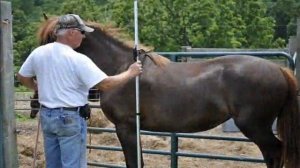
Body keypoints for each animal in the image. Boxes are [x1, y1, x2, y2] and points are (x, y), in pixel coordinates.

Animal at [31, 17, 300, 168]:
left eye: (49, 39)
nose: (35, 99)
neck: (121, 69)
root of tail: (279, 68)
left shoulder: (126, 127)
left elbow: (133, 161)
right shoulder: (133, 129)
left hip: (256, 127)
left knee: (275, 153)